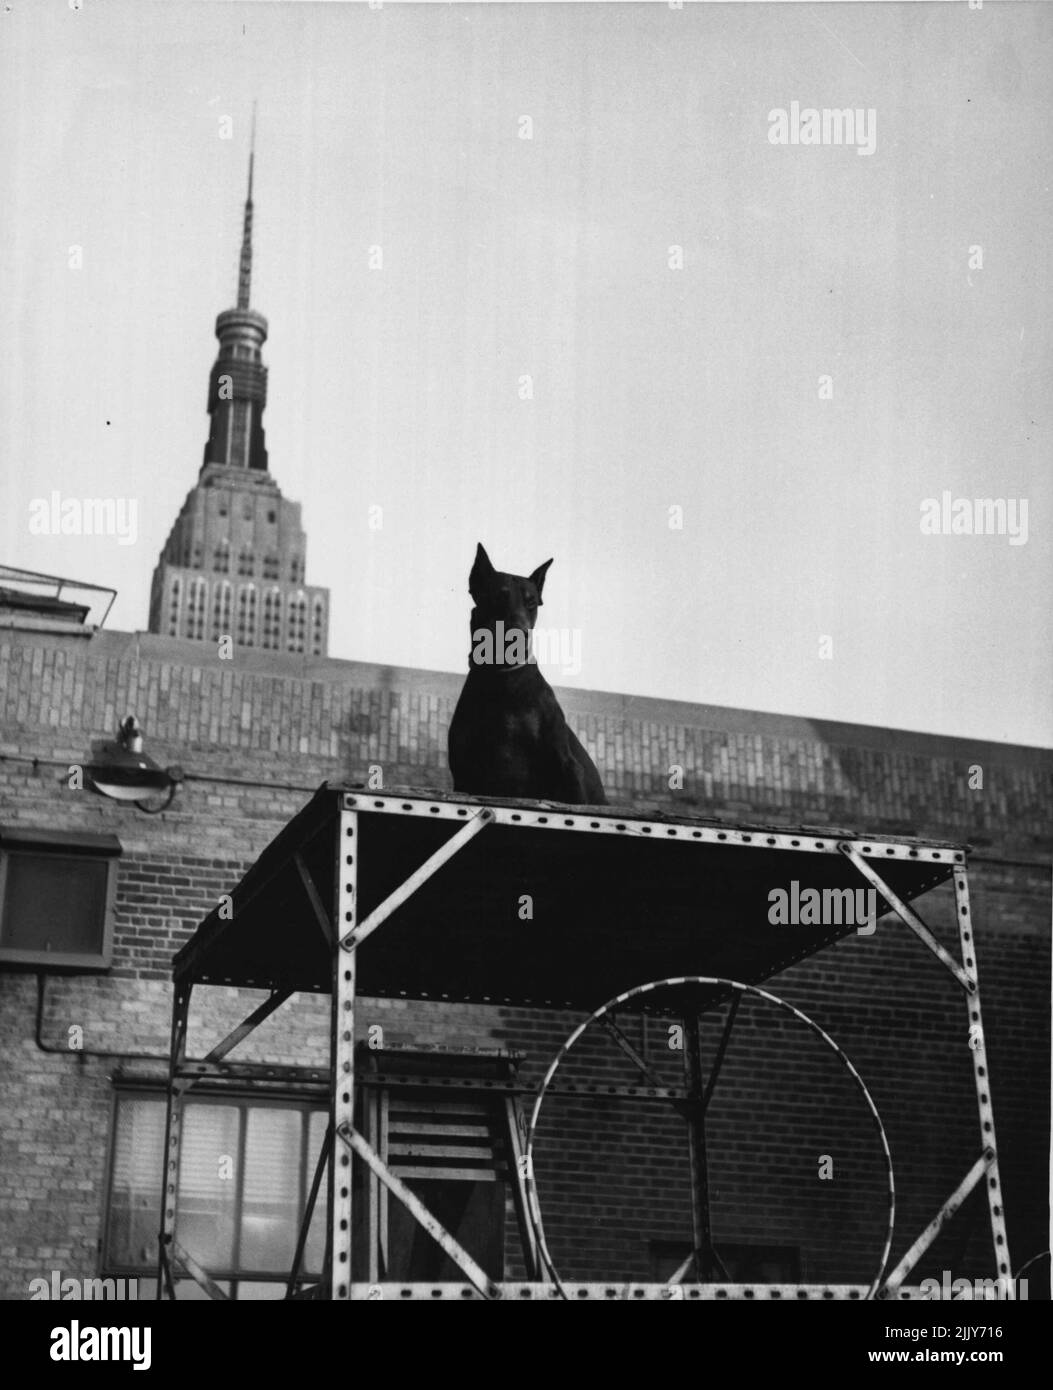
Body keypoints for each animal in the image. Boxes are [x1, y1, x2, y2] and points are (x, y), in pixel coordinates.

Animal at [447, 542, 611, 806]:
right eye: (498, 596)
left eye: (531, 602)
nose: (518, 634)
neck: (503, 679)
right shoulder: (464, 773)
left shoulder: (566, 764)